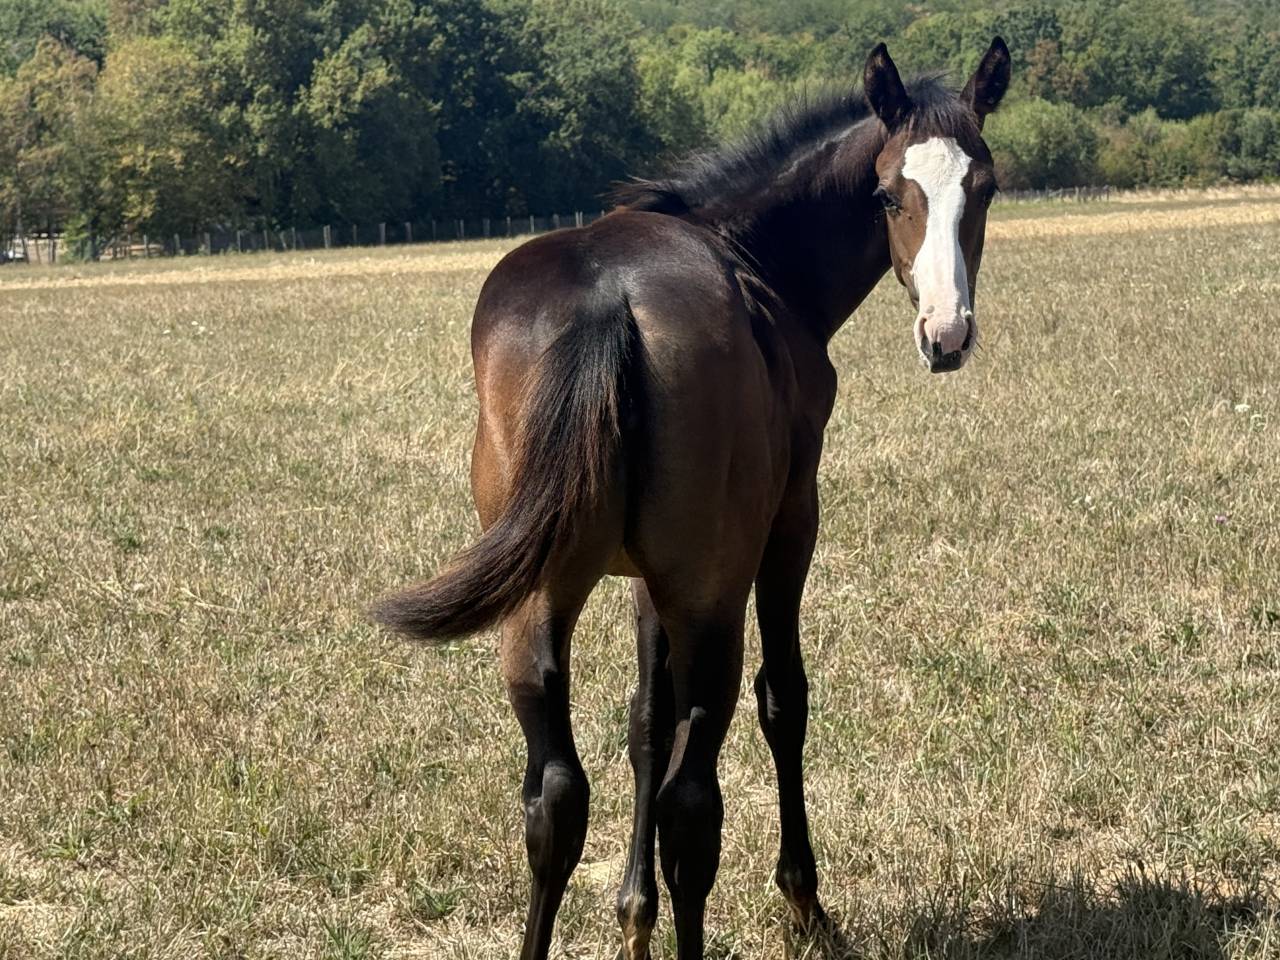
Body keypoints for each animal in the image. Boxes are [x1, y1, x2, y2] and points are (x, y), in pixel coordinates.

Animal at [374, 38, 1011, 960]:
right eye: (890, 193)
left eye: (984, 189)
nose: (947, 332)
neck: (754, 255)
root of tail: (606, 301)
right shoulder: (787, 526)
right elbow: (781, 701)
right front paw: (805, 904)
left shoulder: (648, 579)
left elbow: (645, 720)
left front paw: (632, 920)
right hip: (713, 593)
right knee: (692, 803)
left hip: (539, 600)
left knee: (556, 794)